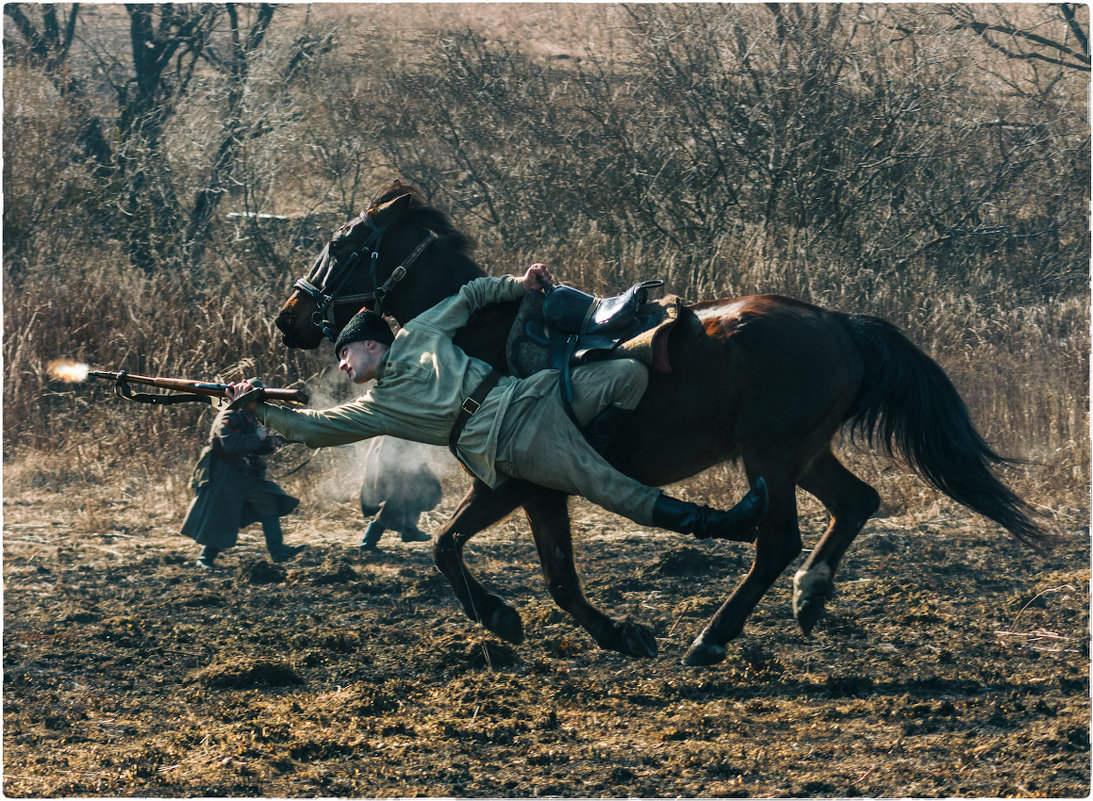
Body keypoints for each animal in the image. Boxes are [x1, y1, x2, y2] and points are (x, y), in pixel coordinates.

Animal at [273, 179, 1049, 664]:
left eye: (343, 243)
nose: (287, 318)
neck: (481, 338)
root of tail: (836, 322)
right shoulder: (538, 490)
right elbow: (550, 577)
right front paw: (609, 634)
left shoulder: (515, 483)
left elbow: (453, 550)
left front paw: (504, 616)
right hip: (800, 452)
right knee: (855, 502)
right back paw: (809, 596)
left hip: (770, 454)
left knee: (777, 541)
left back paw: (712, 636)